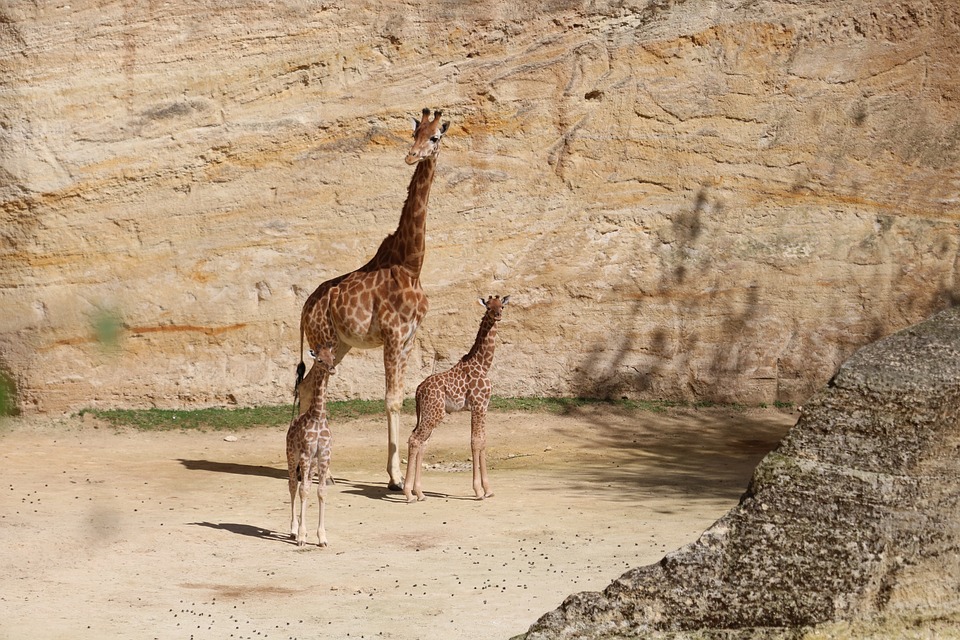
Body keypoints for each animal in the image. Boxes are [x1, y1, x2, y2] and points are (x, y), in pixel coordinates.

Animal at [284, 344, 338, 544]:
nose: (332, 369)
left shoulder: (324, 455)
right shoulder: (306, 454)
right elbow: (302, 491)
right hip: (292, 456)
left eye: (332, 357)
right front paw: (300, 535)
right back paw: (293, 529)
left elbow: (321, 491)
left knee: (304, 484)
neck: (318, 416)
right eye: (319, 360)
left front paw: (321, 537)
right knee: (293, 484)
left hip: (312, 463)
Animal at [296, 109, 450, 490]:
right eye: (414, 133)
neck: (411, 263)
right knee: (314, 386)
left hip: (340, 344)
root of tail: (304, 310)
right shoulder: (393, 335)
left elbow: (400, 397)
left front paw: (396, 475)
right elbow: (391, 400)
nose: (412, 156)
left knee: (306, 386)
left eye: (434, 136)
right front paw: (395, 478)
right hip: (326, 341)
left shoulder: (409, 338)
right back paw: (322, 469)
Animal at [404, 292, 510, 502]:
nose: (498, 315)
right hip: (435, 413)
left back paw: (419, 492)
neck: (483, 365)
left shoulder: (484, 406)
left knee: (422, 442)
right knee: (415, 440)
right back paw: (408, 494)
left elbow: (483, 441)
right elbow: (475, 442)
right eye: (488, 307)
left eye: (501, 306)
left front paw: (489, 489)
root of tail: (418, 390)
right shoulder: (478, 405)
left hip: (428, 413)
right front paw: (479, 491)